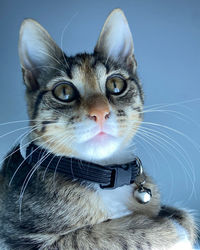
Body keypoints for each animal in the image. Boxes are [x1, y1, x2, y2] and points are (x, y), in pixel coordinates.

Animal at [0, 8, 197, 250]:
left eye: (115, 84)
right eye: (64, 91)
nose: (100, 112)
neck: (102, 175)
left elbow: (183, 216)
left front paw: (178, 218)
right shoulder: (21, 238)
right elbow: (89, 236)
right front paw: (166, 228)